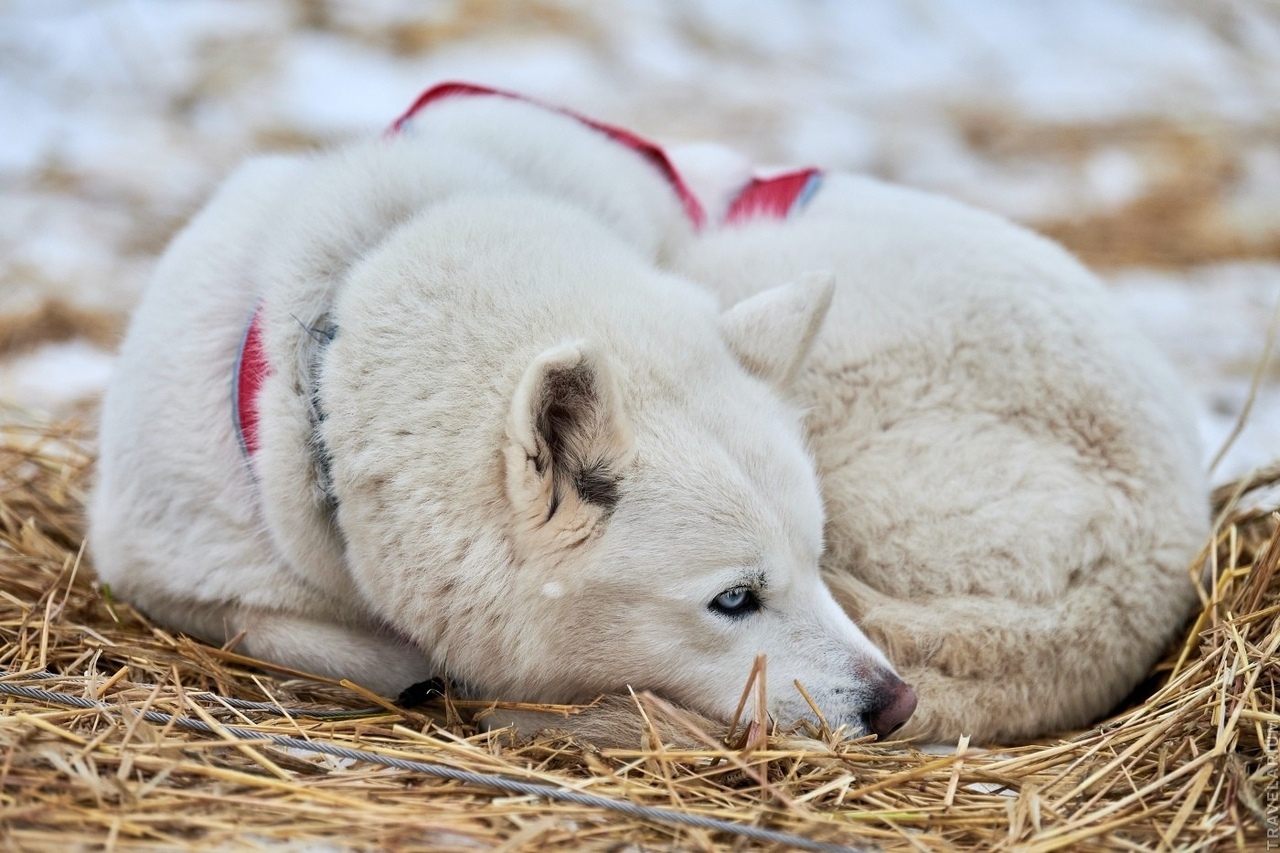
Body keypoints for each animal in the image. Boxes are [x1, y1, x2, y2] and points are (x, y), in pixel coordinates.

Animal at [92, 83, 1208, 742]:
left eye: (815, 556)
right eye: (733, 597)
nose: (894, 703)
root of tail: (1161, 547)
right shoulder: (160, 560)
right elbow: (290, 628)